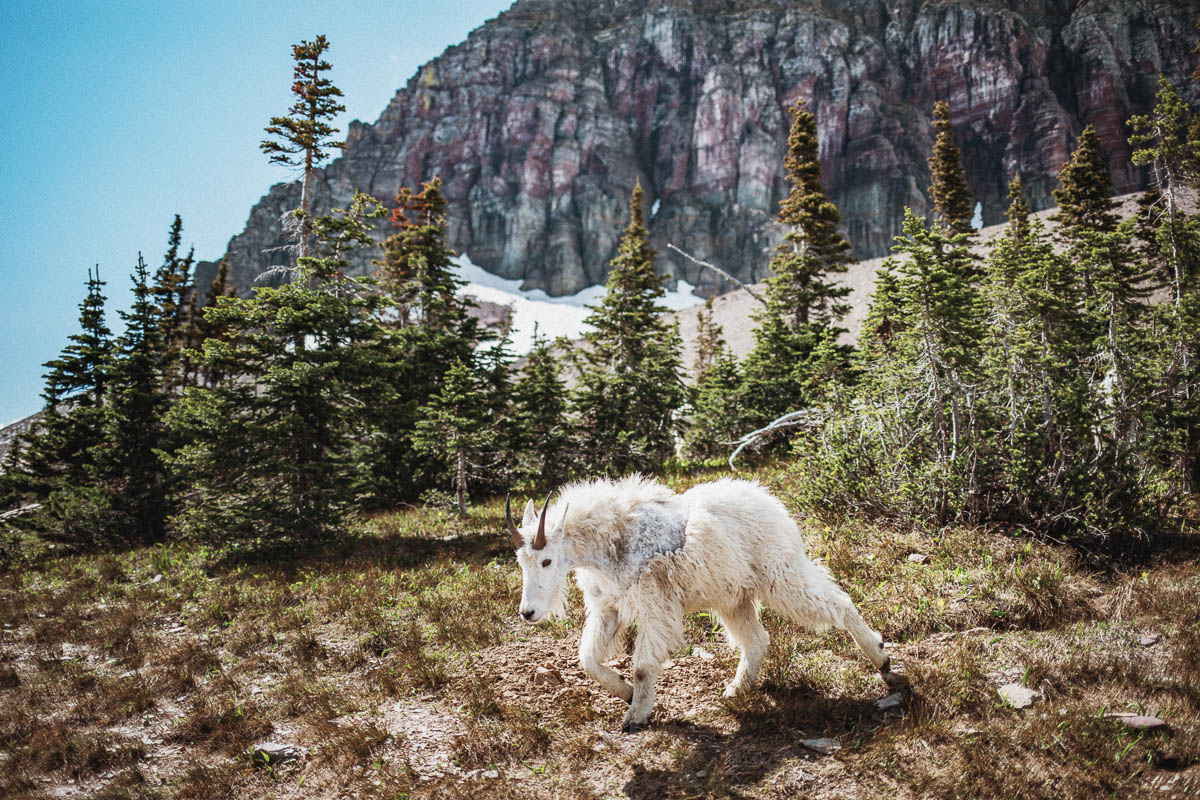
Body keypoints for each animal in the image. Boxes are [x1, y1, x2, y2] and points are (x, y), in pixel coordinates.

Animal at [506, 474, 892, 734]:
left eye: (546, 561)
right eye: (520, 560)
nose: (528, 613)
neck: (610, 543)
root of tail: (771, 502)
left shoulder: (655, 608)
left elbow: (642, 666)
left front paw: (635, 717)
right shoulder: (610, 609)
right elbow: (587, 660)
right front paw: (627, 693)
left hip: (780, 577)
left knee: (838, 603)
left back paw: (881, 657)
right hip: (733, 598)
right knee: (757, 639)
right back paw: (736, 689)